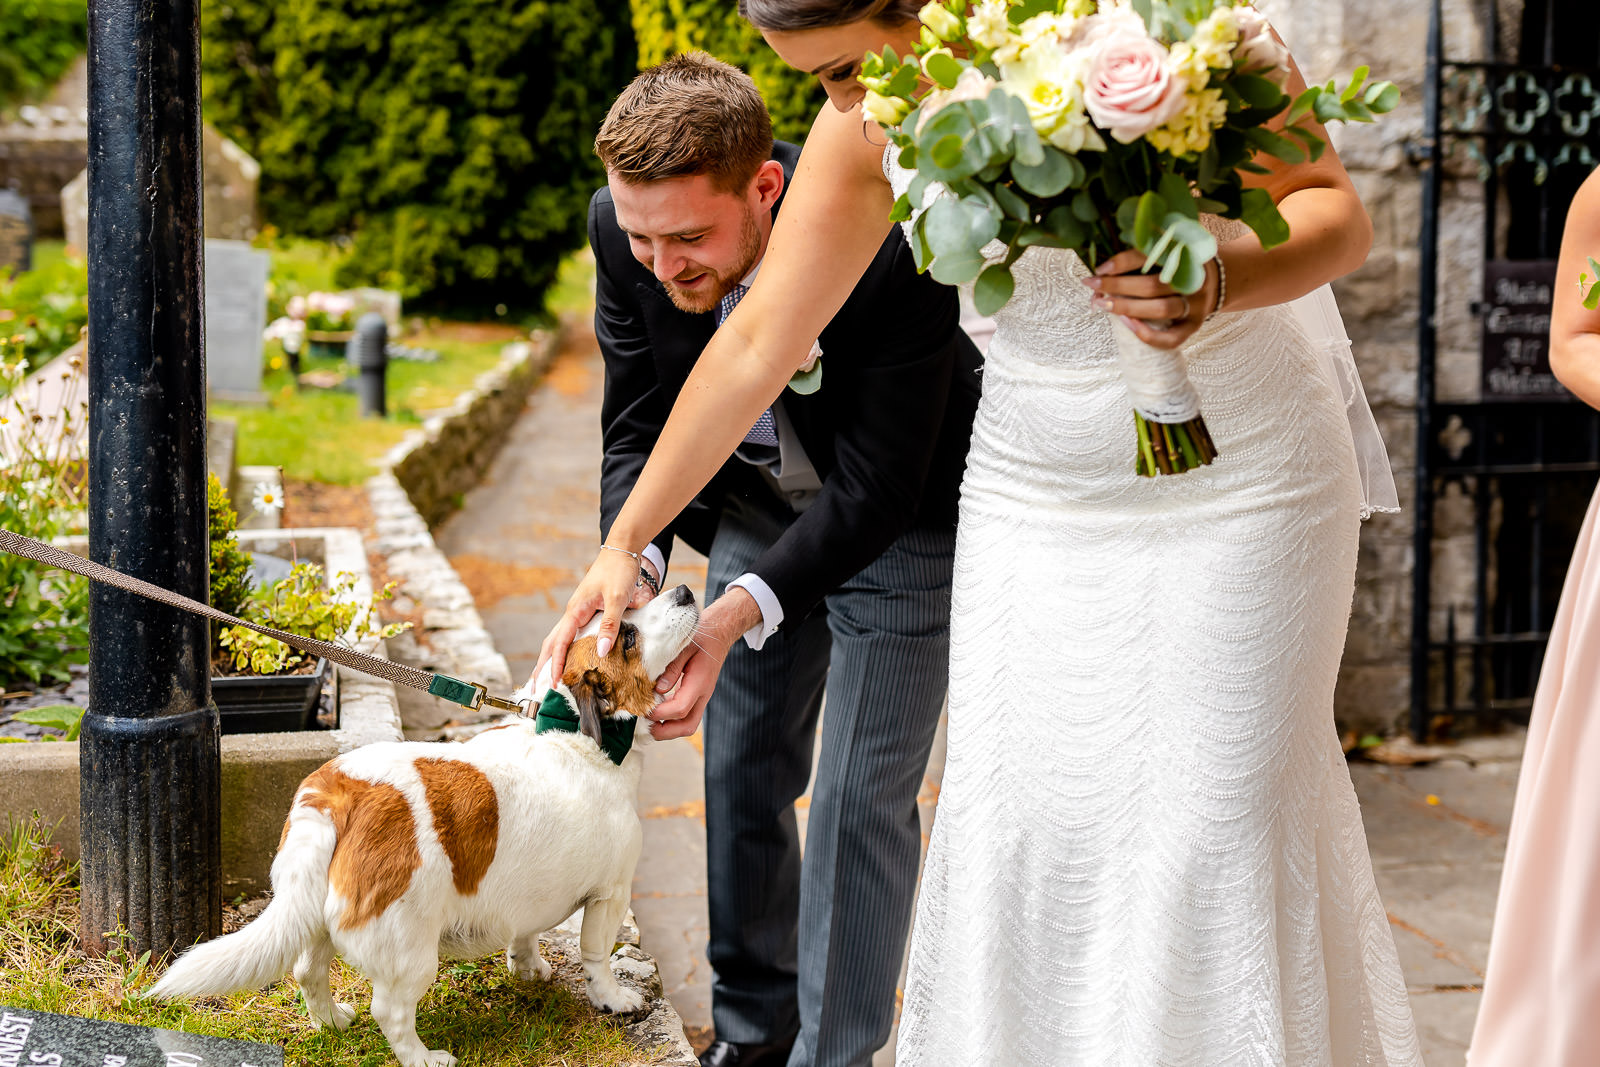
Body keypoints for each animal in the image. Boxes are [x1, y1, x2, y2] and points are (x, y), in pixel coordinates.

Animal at [147, 588, 697, 1062]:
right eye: (627, 636)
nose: (686, 591)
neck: (567, 731)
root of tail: (340, 794)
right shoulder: (610, 896)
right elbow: (596, 956)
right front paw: (613, 999)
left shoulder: (527, 900)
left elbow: (524, 936)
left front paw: (530, 968)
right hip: (410, 953)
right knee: (390, 1011)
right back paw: (424, 1058)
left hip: (313, 917)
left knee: (307, 971)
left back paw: (332, 1021)